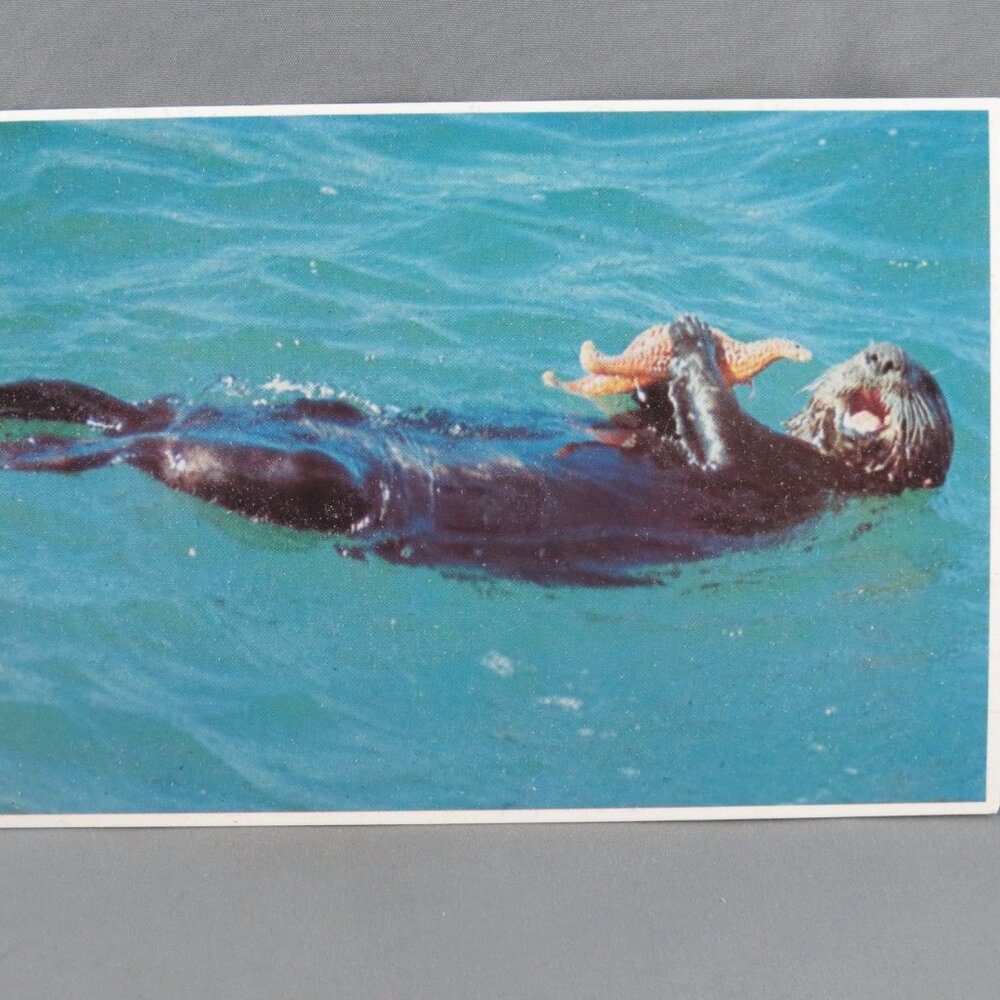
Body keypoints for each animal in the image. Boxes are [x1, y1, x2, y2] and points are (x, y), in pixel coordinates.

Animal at [0, 316, 953, 585]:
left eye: (930, 384)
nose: (886, 356)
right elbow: (647, 430)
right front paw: (649, 387)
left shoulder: (778, 483)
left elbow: (722, 446)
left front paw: (691, 347)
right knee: (146, 419)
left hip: (302, 483)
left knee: (159, 453)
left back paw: (43, 454)